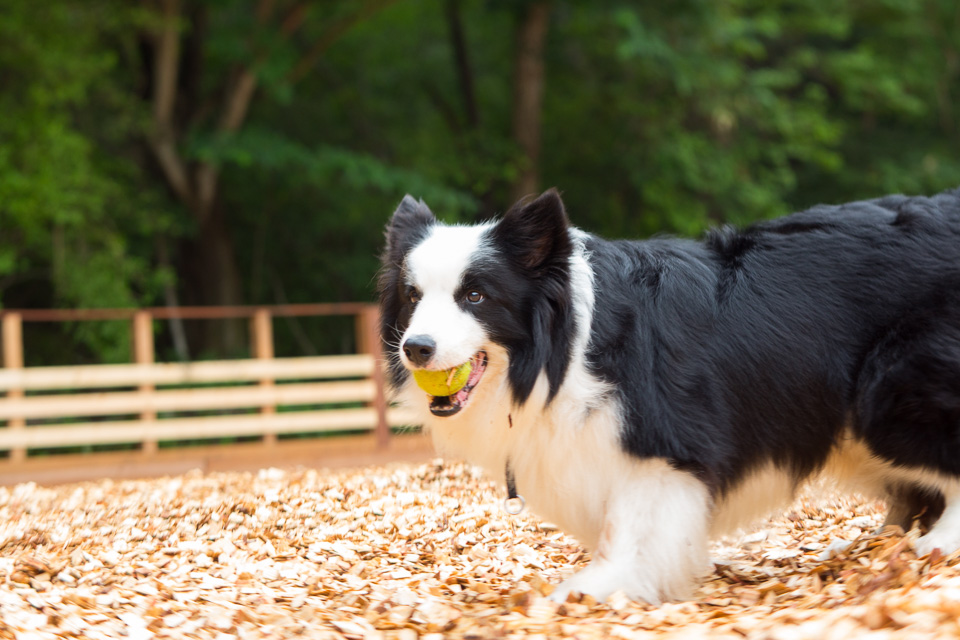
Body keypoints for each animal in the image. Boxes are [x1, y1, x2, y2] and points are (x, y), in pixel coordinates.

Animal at [378, 186, 960, 604]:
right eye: (412, 297)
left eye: (476, 296)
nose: (416, 348)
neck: (564, 350)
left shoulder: (662, 445)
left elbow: (628, 525)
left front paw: (594, 588)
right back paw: (876, 545)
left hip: (885, 399)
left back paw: (937, 543)